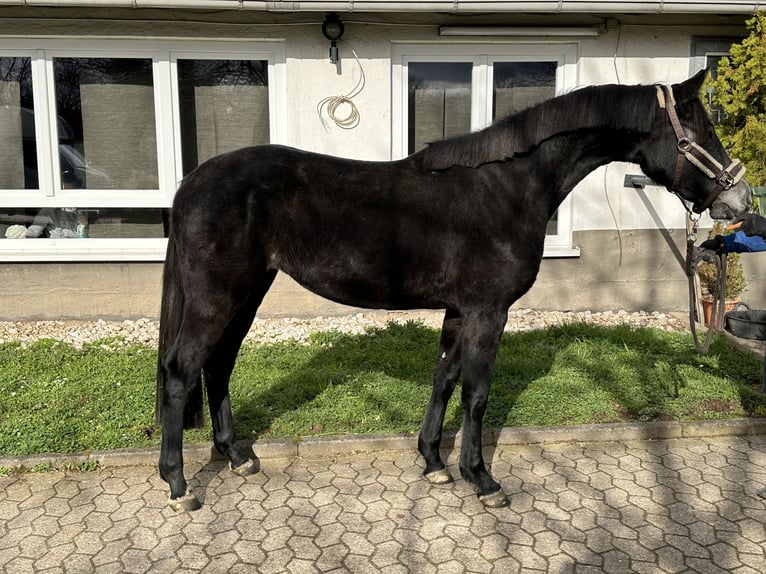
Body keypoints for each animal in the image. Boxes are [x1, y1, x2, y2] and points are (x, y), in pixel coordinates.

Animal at [156, 71, 752, 512]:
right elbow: (476, 392)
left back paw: (237, 457)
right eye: (699, 133)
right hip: (219, 296)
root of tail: (192, 184)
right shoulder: (488, 312)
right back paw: (179, 485)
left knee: (218, 366)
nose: (740, 198)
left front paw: (434, 463)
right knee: (183, 370)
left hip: (247, 291)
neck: (508, 187)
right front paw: (481, 479)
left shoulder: (459, 311)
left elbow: (443, 379)